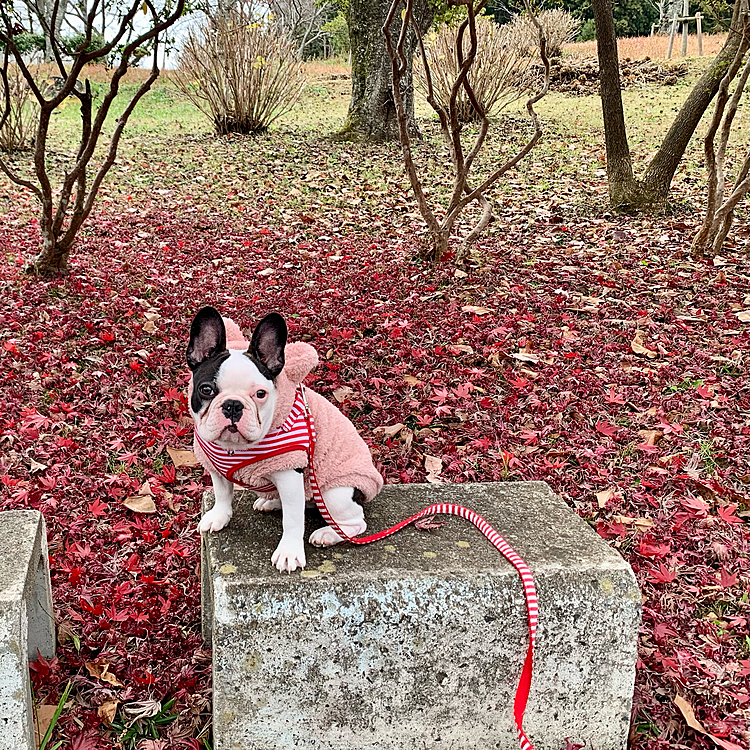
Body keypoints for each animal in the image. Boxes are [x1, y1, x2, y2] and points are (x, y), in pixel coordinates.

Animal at [186, 308, 384, 572]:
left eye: (260, 394)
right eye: (206, 389)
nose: (233, 405)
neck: (235, 448)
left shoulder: (290, 474)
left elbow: (292, 520)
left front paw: (289, 552)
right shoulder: (216, 468)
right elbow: (222, 493)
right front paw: (219, 516)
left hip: (333, 495)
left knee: (355, 521)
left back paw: (327, 534)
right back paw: (271, 502)